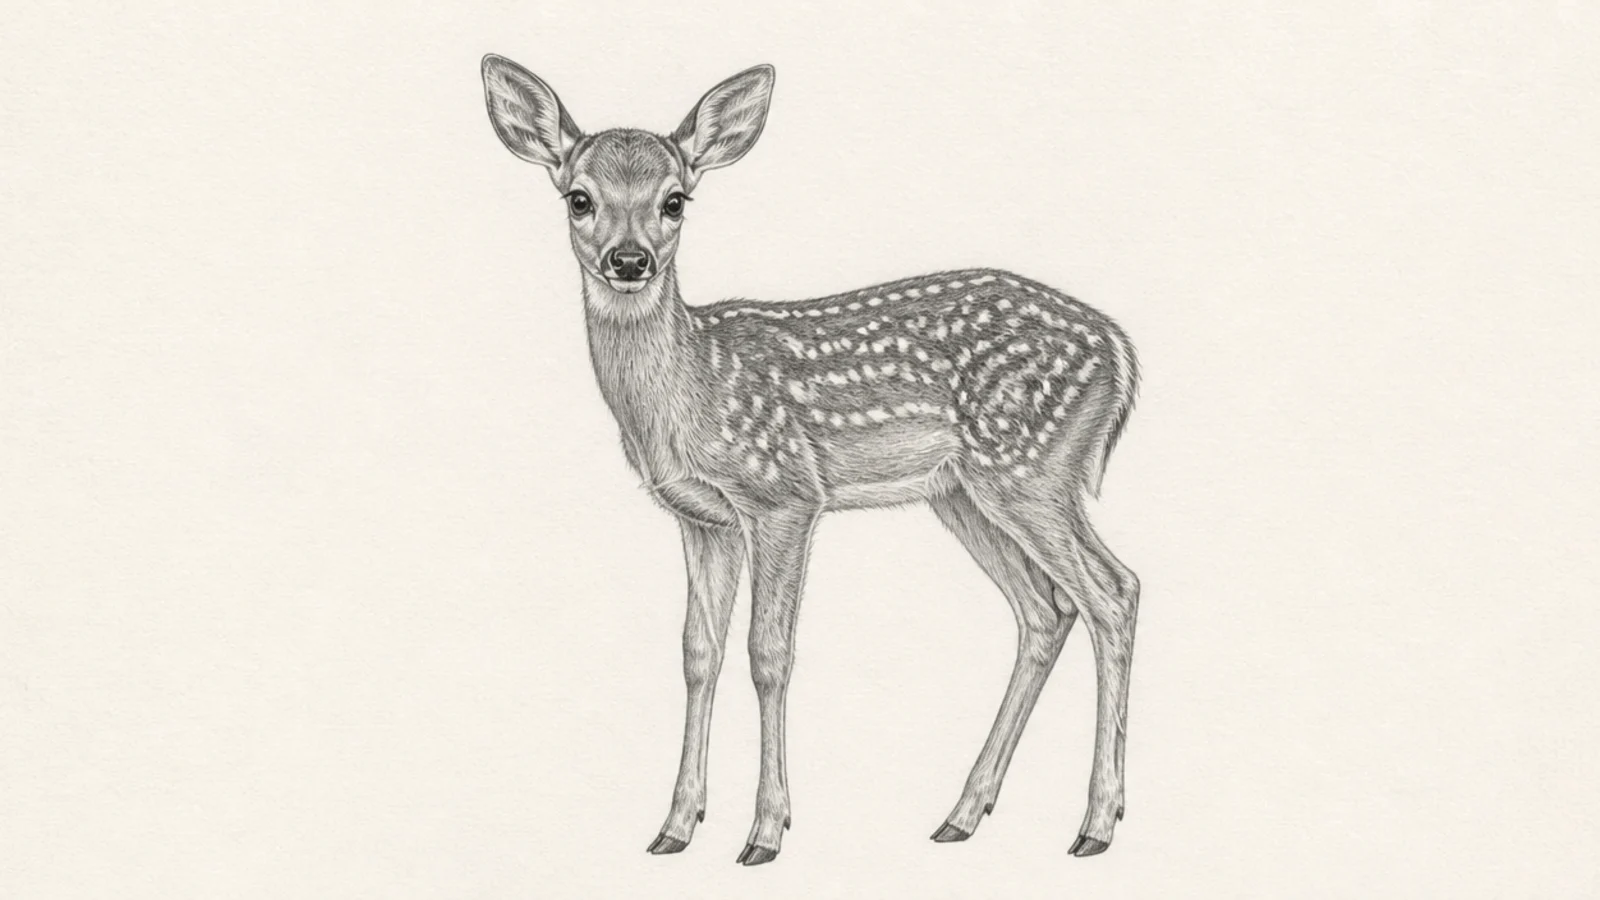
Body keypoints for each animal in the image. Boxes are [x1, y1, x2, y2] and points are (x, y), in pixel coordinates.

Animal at [480, 54, 1142, 866]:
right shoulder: (703, 518)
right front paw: (675, 825)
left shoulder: (785, 496)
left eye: (675, 201)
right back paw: (963, 813)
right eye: (579, 198)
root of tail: (1120, 352)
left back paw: (1096, 824)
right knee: (1046, 610)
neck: (689, 389)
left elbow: (769, 653)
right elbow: (698, 653)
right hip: (962, 492)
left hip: (1032, 468)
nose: (629, 260)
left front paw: (766, 832)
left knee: (1113, 591)